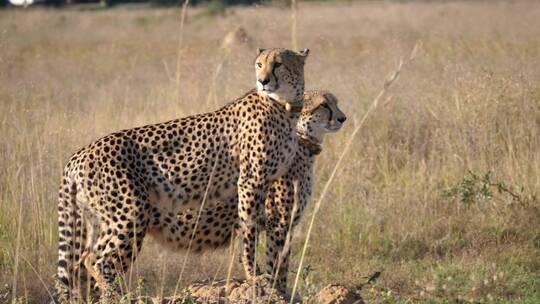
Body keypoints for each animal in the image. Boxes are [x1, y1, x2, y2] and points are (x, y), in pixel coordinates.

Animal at [55, 47, 310, 302]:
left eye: (278, 64)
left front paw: (274, 286)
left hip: (97, 219)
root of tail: (79, 154)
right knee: (95, 259)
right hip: (131, 213)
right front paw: (255, 277)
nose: (262, 81)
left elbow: (272, 244)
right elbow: (249, 230)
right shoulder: (250, 181)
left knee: (80, 264)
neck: (285, 107)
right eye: (259, 64)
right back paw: (119, 296)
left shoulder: (267, 184)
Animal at [152, 90, 346, 292]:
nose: (343, 118)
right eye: (324, 105)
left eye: (335, 102)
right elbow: (277, 263)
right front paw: (276, 290)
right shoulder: (278, 223)